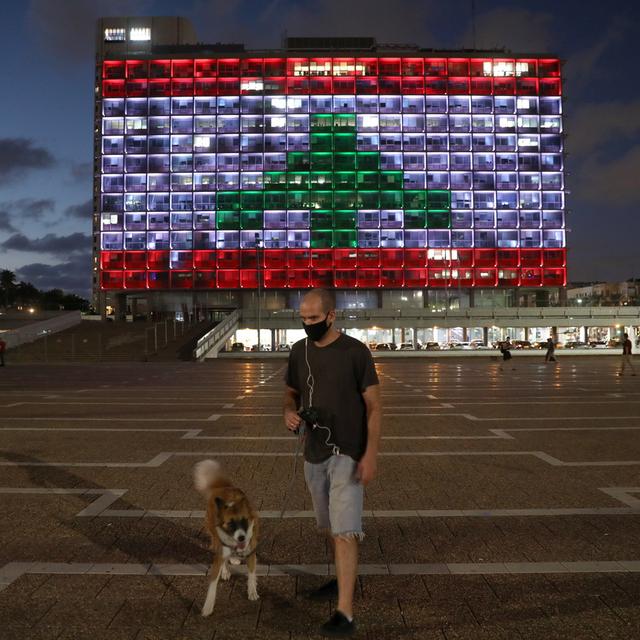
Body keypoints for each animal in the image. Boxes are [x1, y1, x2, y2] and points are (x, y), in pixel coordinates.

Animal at [192, 458, 260, 616]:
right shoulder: (219, 554)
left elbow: (251, 574)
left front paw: (252, 591)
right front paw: (208, 606)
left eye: (244, 521)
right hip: (215, 536)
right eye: (231, 524)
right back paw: (226, 569)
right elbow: (212, 584)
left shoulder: (251, 551)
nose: (241, 538)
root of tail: (224, 487)